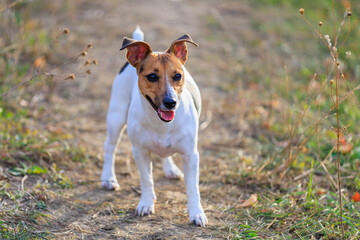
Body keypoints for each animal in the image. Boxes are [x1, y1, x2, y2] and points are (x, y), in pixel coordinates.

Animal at [101, 26, 208, 227]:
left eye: (177, 76)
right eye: (152, 76)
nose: (171, 103)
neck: (161, 125)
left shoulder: (191, 156)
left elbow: (193, 188)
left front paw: (197, 212)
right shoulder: (140, 152)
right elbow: (146, 179)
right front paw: (146, 203)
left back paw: (170, 169)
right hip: (116, 117)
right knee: (110, 147)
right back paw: (108, 178)